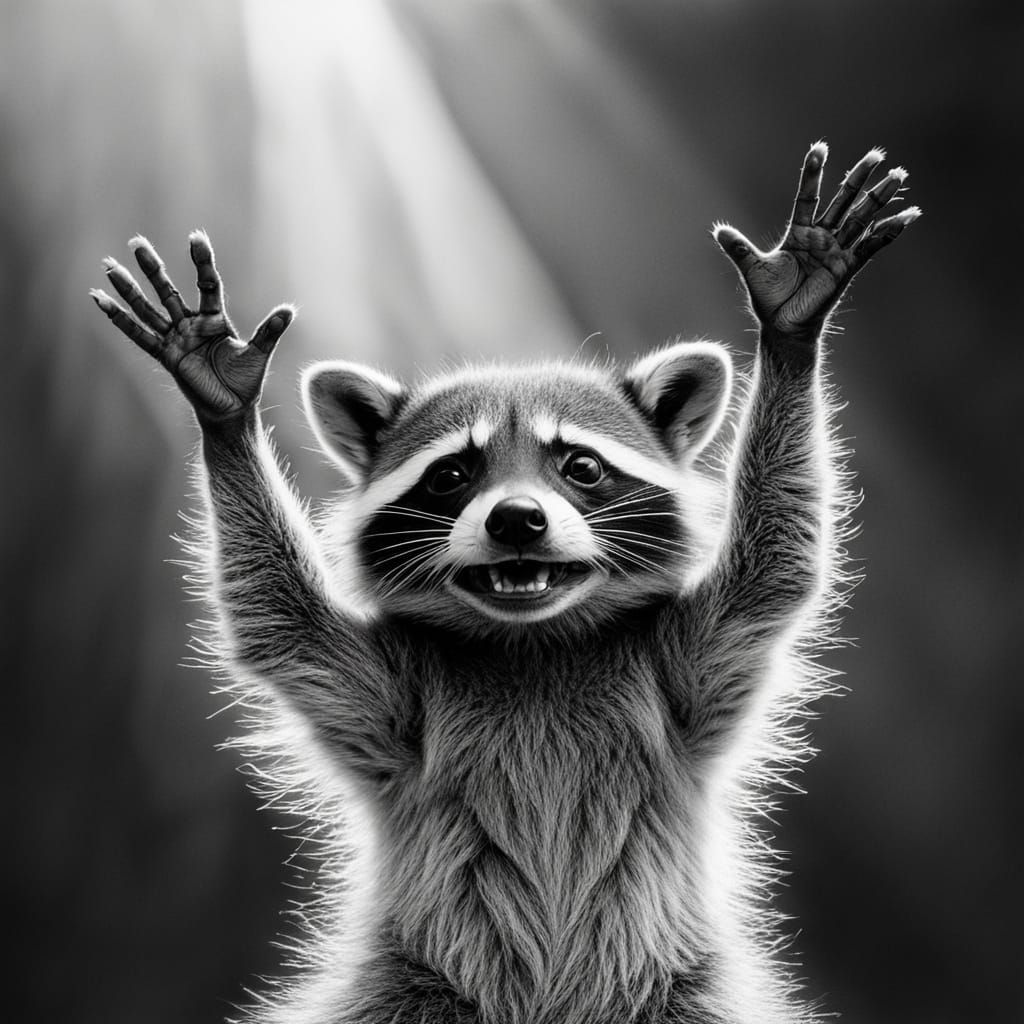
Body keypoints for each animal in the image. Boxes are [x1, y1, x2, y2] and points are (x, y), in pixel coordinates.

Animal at [91, 142, 919, 1024]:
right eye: (452, 475)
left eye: (580, 467)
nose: (517, 519)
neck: (534, 639)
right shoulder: (392, 691)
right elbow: (278, 619)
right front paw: (222, 404)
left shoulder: (686, 661)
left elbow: (776, 563)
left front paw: (793, 324)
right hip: (410, 986)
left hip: (677, 991)